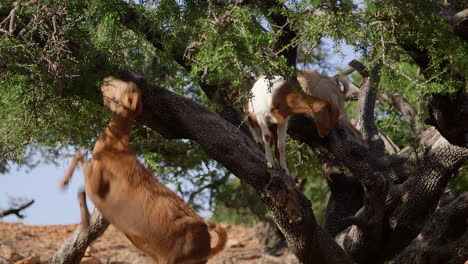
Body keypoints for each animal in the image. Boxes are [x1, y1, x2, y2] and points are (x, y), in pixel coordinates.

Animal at [59, 77, 228, 264]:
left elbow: (81, 182)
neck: (114, 148)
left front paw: (67, 192)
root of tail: (207, 247)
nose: (106, 79)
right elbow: (80, 157)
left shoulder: (97, 184)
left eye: (124, 88)